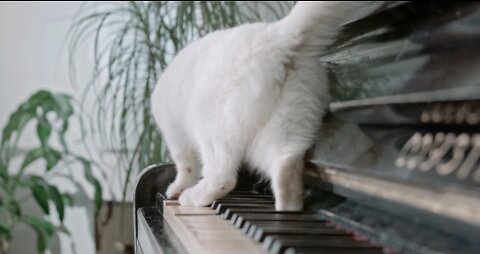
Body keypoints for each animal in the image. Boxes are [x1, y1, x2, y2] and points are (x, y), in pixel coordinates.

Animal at [150, 0, 364, 210]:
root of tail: (278, 35)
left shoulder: (173, 131)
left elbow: (185, 165)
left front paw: (176, 189)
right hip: (284, 127)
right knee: (286, 169)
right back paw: (286, 211)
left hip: (211, 129)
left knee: (223, 177)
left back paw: (193, 197)